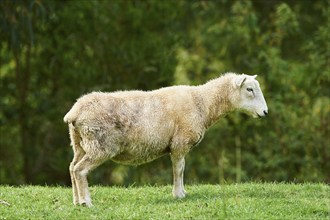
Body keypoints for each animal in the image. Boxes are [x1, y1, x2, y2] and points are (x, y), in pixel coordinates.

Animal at [63, 72, 268, 206]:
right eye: (249, 89)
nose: (265, 112)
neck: (202, 103)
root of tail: (74, 112)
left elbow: (182, 169)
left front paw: (182, 192)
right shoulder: (180, 143)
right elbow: (179, 169)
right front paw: (178, 195)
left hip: (79, 143)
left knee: (72, 168)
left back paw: (76, 201)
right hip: (99, 144)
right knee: (80, 170)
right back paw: (86, 202)